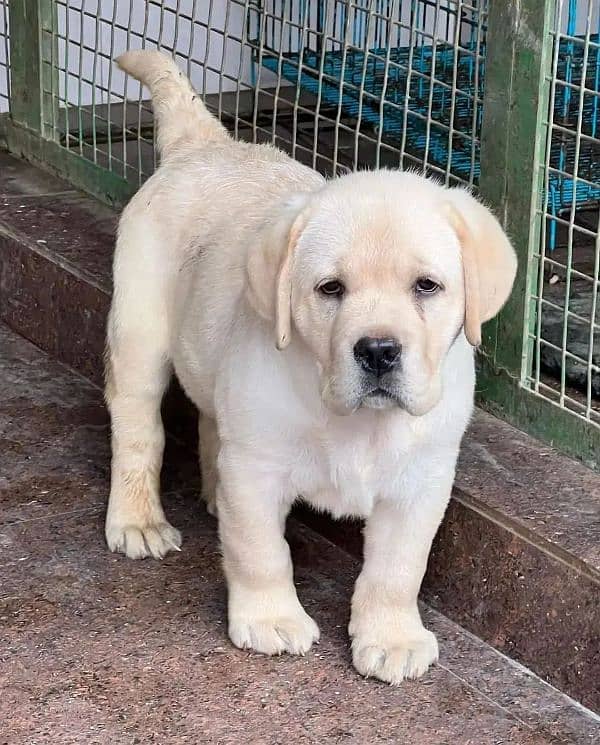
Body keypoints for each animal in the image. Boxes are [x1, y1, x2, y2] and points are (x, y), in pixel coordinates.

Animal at [104, 49, 516, 684]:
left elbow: (398, 568)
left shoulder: (422, 480)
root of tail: (208, 143)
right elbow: (260, 551)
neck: (356, 422)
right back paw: (137, 520)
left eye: (427, 286)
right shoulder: (257, 467)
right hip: (139, 331)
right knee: (137, 430)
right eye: (330, 289)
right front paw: (270, 619)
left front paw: (391, 636)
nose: (378, 350)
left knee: (209, 418)